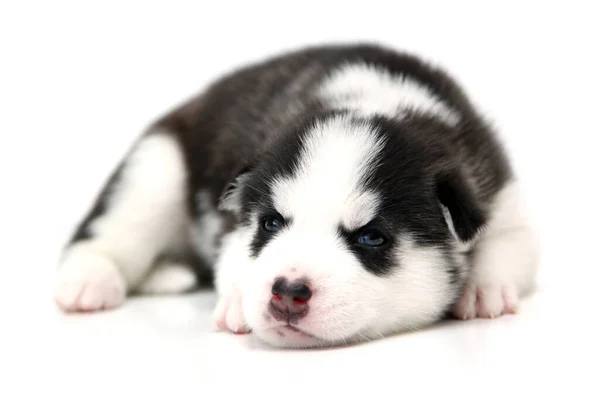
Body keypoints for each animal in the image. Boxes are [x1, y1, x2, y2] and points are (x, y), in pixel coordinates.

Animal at [52, 43, 540, 348]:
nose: (287, 292)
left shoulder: (499, 197)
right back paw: (88, 281)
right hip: (156, 168)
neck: (374, 98)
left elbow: (509, 245)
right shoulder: (233, 219)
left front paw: (482, 287)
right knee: (106, 233)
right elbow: (233, 254)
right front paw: (237, 298)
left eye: (371, 238)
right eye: (271, 223)